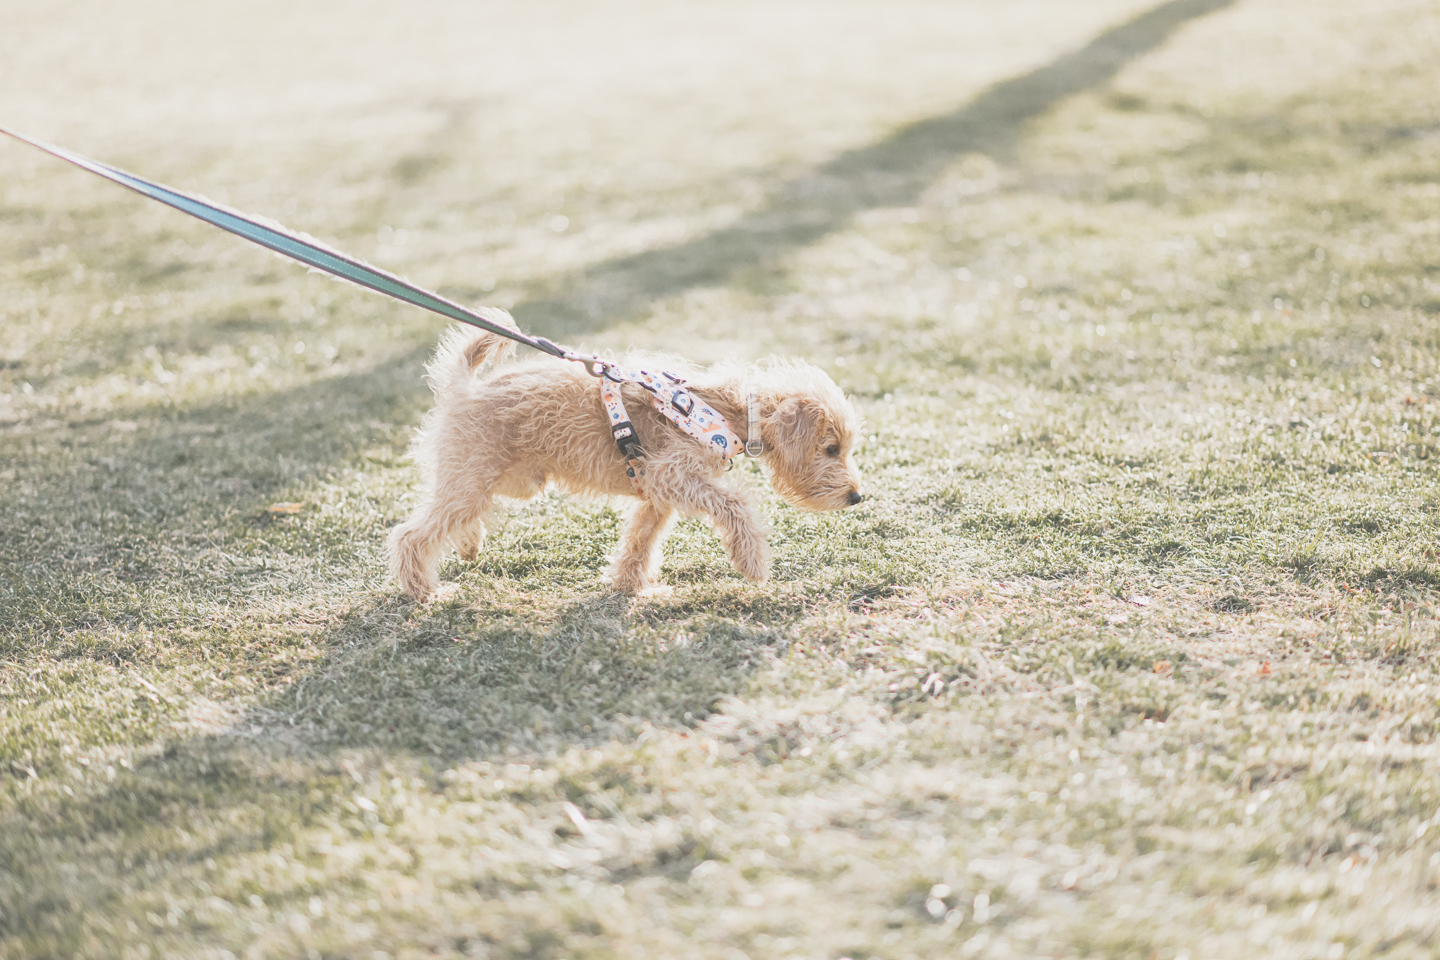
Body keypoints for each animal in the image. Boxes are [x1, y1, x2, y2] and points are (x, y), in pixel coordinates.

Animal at [388, 313, 864, 601]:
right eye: (831, 448)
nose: (857, 497)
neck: (724, 410)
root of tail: (462, 389)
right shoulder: (672, 475)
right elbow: (736, 505)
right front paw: (752, 562)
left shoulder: (657, 492)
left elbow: (640, 541)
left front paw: (630, 588)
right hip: (472, 479)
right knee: (411, 535)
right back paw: (425, 592)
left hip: (500, 481)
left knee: (455, 519)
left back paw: (468, 544)